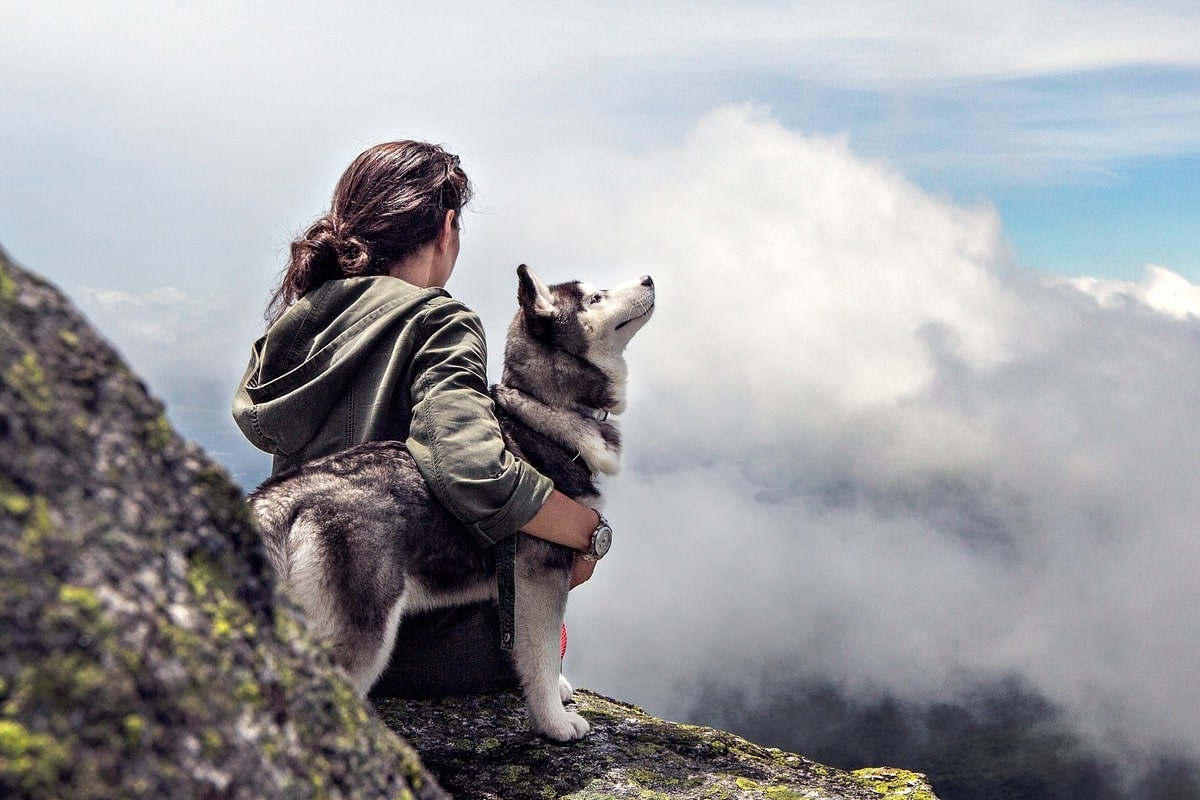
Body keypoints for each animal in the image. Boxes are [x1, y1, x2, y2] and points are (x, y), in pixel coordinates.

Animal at [247, 266, 652, 743]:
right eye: (595, 298)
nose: (648, 278)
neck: (542, 410)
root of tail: (284, 494)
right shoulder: (540, 577)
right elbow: (542, 653)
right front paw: (554, 721)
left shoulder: (515, 591)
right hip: (362, 633)